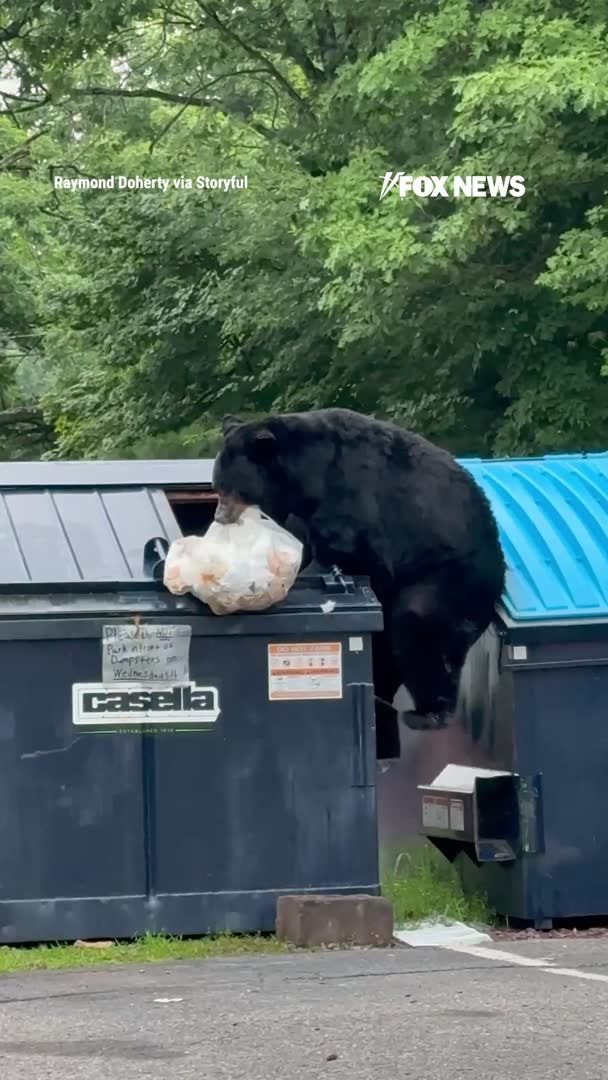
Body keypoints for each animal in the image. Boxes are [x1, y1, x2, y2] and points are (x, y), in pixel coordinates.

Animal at [212, 408, 506, 759]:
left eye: (229, 488)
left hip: (449, 577)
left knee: (417, 624)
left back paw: (427, 712)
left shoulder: (353, 499)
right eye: (216, 486)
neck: (307, 476)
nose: (218, 517)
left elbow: (346, 550)